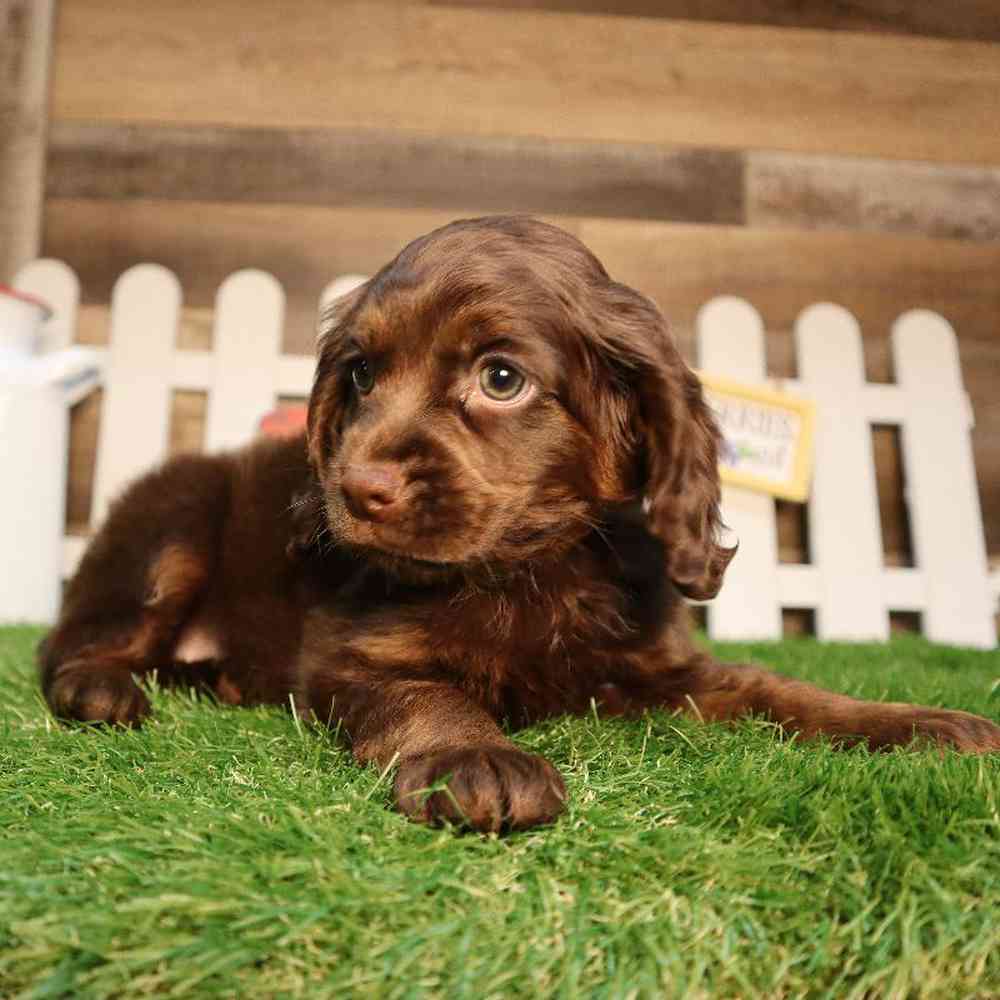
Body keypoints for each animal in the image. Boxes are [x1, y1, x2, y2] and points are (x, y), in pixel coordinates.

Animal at [41, 215, 1000, 832]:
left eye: (500, 378)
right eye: (359, 375)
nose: (356, 488)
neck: (531, 566)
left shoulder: (665, 667)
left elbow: (780, 690)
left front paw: (913, 724)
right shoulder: (355, 654)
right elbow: (430, 694)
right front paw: (477, 760)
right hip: (171, 530)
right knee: (70, 643)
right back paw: (101, 691)